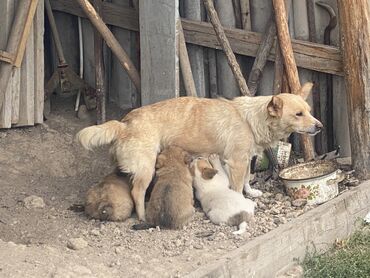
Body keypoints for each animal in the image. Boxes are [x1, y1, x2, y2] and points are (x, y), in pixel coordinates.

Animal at [77, 82, 320, 222]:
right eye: (298, 114)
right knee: (136, 192)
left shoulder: (243, 160)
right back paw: (143, 216)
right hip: (146, 167)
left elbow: (247, 180)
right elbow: (237, 187)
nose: (320, 126)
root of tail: (124, 123)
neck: (251, 119)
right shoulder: (236, 162)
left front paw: (251, 192)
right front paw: (241, 200)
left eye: (309, 111)